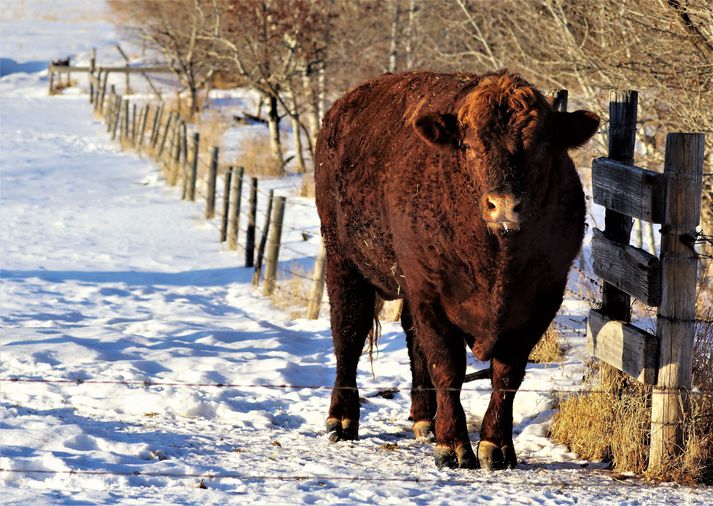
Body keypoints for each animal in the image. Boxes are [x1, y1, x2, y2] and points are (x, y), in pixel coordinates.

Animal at [314, 71, 596, 470]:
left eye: (541, 146)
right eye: (470, 145)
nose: (503, 206)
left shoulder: (542, 299)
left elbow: (507, 374)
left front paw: (497, 445)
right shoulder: (431, 293)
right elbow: (447, 367)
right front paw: (454, 445)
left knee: (412, 340)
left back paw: (423, 419)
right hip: (344, 260)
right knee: (348, 334)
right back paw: (342, 419)